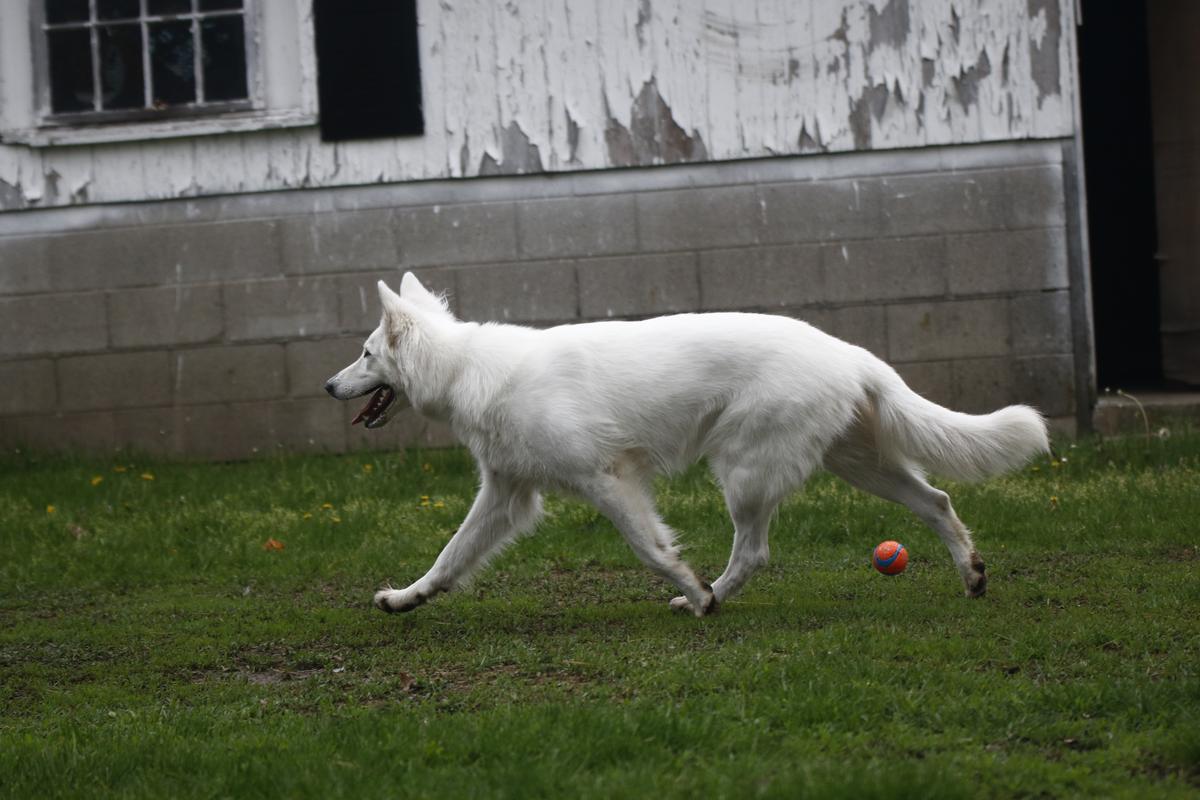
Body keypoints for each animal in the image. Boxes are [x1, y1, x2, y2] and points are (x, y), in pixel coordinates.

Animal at [324, 272, 1046, 618]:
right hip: (859, 465)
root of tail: (848, 352)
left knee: (754, 552)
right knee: (937, 500)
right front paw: (405, 599)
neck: (466, 367)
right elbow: (448, 558)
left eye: (365, 354)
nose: (329, 385)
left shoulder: (607, 480)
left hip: (744, 473)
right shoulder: (506, 496)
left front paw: (693, 590)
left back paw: (712, 598)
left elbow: (651, 548)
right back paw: (971, 573)